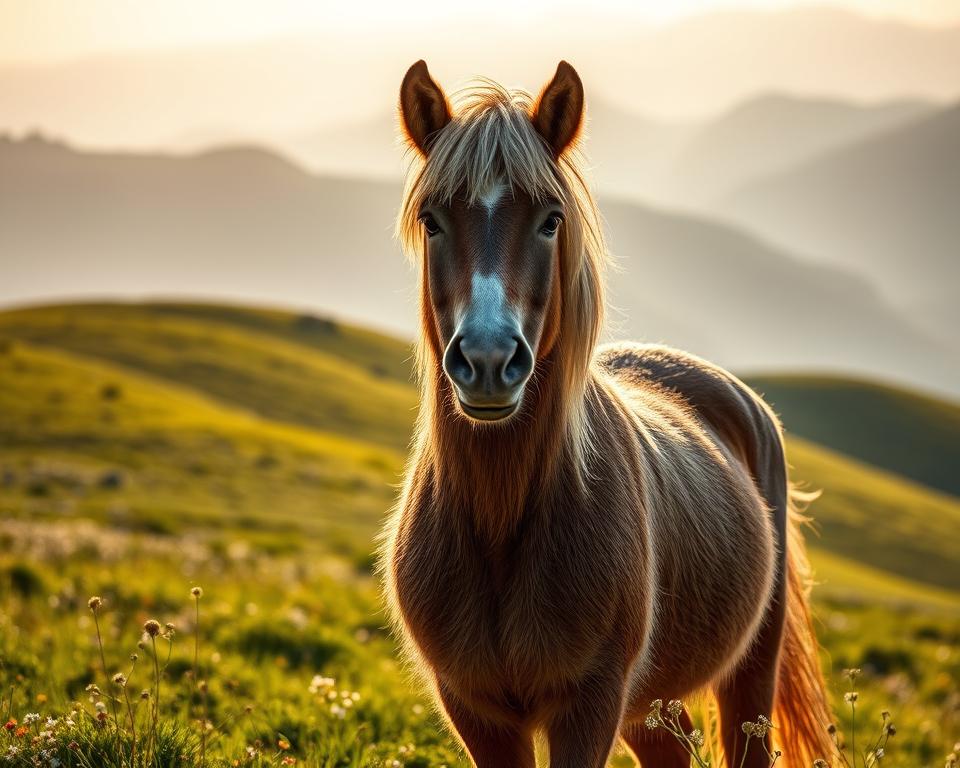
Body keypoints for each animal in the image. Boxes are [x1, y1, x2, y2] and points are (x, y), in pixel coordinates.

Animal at [381, 60, 834, 768]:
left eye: (550, 220)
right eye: (431, 219)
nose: (487, 359)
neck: (501, 525)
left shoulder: (590, 703)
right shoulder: (477, 710)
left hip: (747, 675)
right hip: (649, 708)